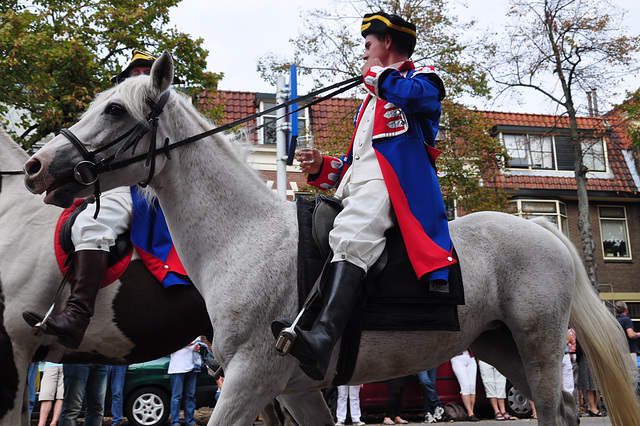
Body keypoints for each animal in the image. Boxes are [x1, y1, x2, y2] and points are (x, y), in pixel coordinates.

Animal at [20, 53, 640, 426]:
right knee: (562, 406)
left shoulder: (249, 377)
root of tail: (542, 230)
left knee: (553, 410)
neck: (242, 239)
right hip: (498, 344)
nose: (36, 167)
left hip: (539, 342)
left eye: (114, 109)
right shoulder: (292, 388)